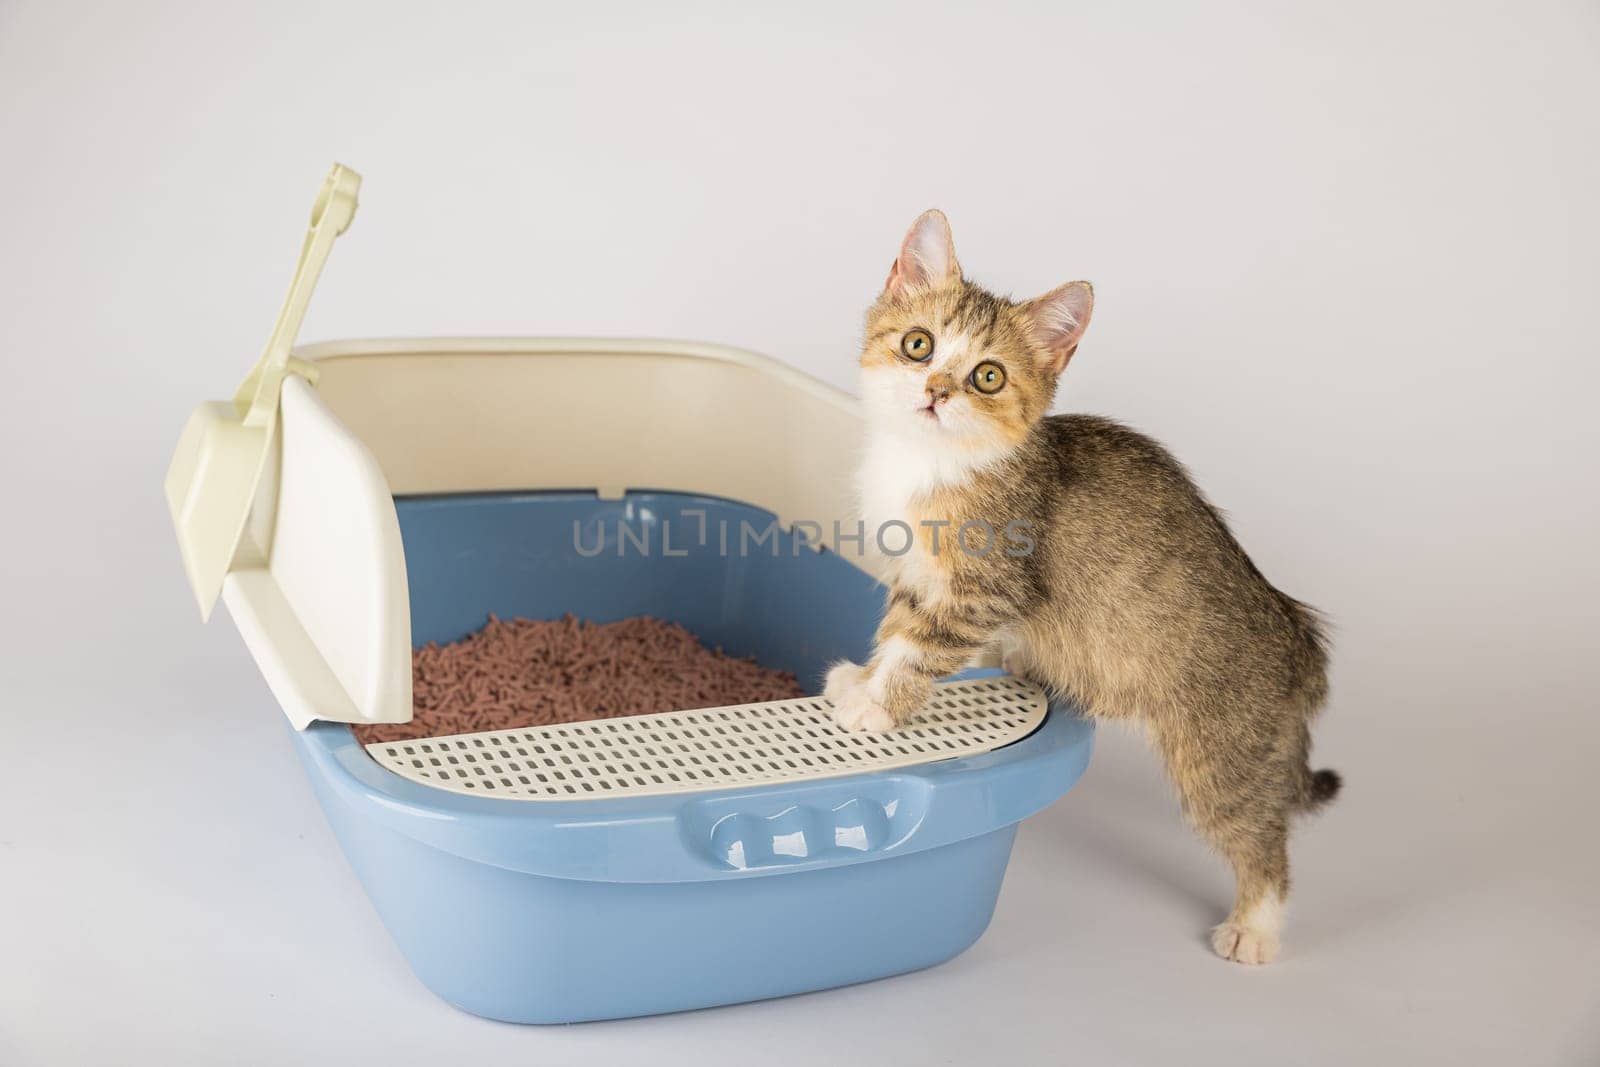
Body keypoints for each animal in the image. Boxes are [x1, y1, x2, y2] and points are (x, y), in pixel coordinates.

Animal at [825, 207, 1337, 966]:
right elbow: (897, 628)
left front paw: (877, 707)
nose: (935, 391)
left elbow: (920, 647)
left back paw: (1256, 924)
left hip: (1221, 748)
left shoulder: (987, 585)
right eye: (918, 345)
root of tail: (1298, 638)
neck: (933, 463)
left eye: (986, 376)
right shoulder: (918, 574)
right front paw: (862, 680)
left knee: (1259, 832)